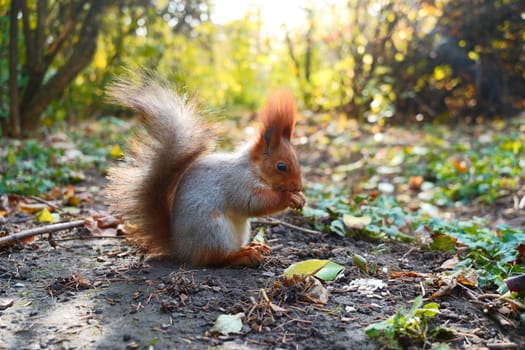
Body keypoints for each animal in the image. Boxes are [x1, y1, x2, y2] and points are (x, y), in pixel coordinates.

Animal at [104, 76, 304, 266]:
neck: (252, 169)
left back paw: (254, 246)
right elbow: (254, 202)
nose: (298, 187)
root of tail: (181, 248)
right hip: (213, 230)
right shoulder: (237, 183)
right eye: (281, 166)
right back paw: (243, 256)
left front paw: (301, 198)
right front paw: (289, 197)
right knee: (214, 258)